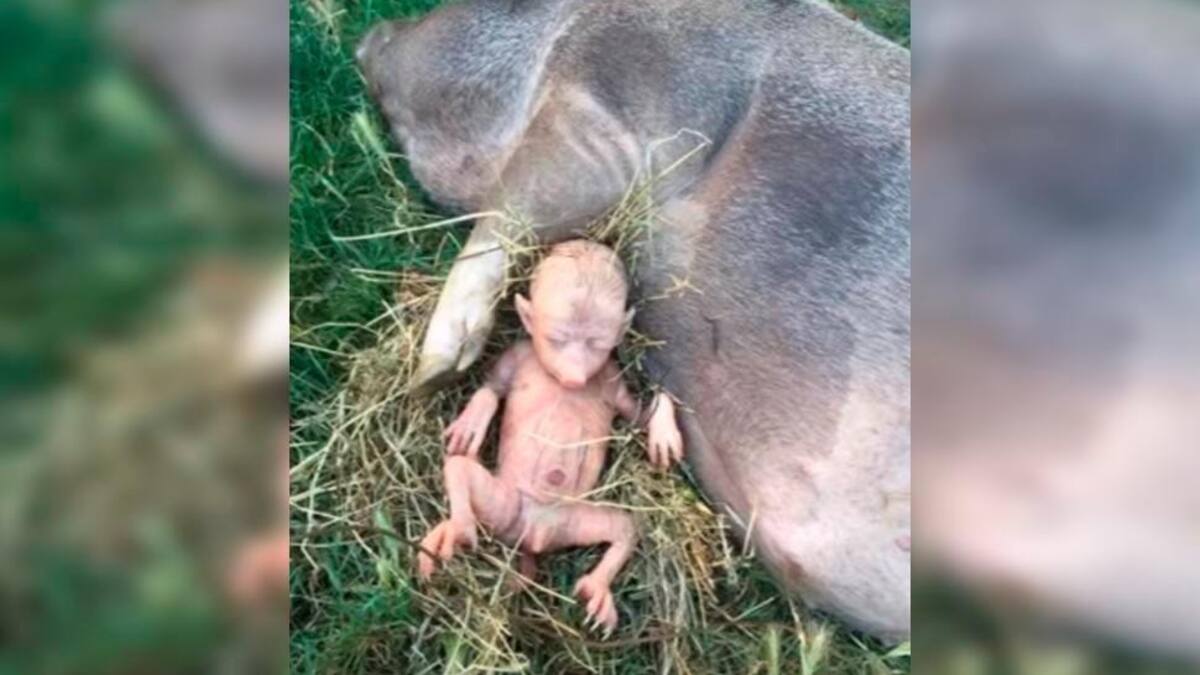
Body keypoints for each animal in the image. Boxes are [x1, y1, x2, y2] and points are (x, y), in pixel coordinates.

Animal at [416, 240, 684, 633]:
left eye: (596, 342)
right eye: (555, 338)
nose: (573, 378)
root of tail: (534, 539)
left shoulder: (612, 375)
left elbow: (638, 413)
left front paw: (663, 428)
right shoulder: (518, 350)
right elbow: (494, 383)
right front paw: (472, 421)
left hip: (572, 521)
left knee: (624, 526)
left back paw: (596, 592)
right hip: (507, 504)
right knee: (460, 470)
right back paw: (454, 531)